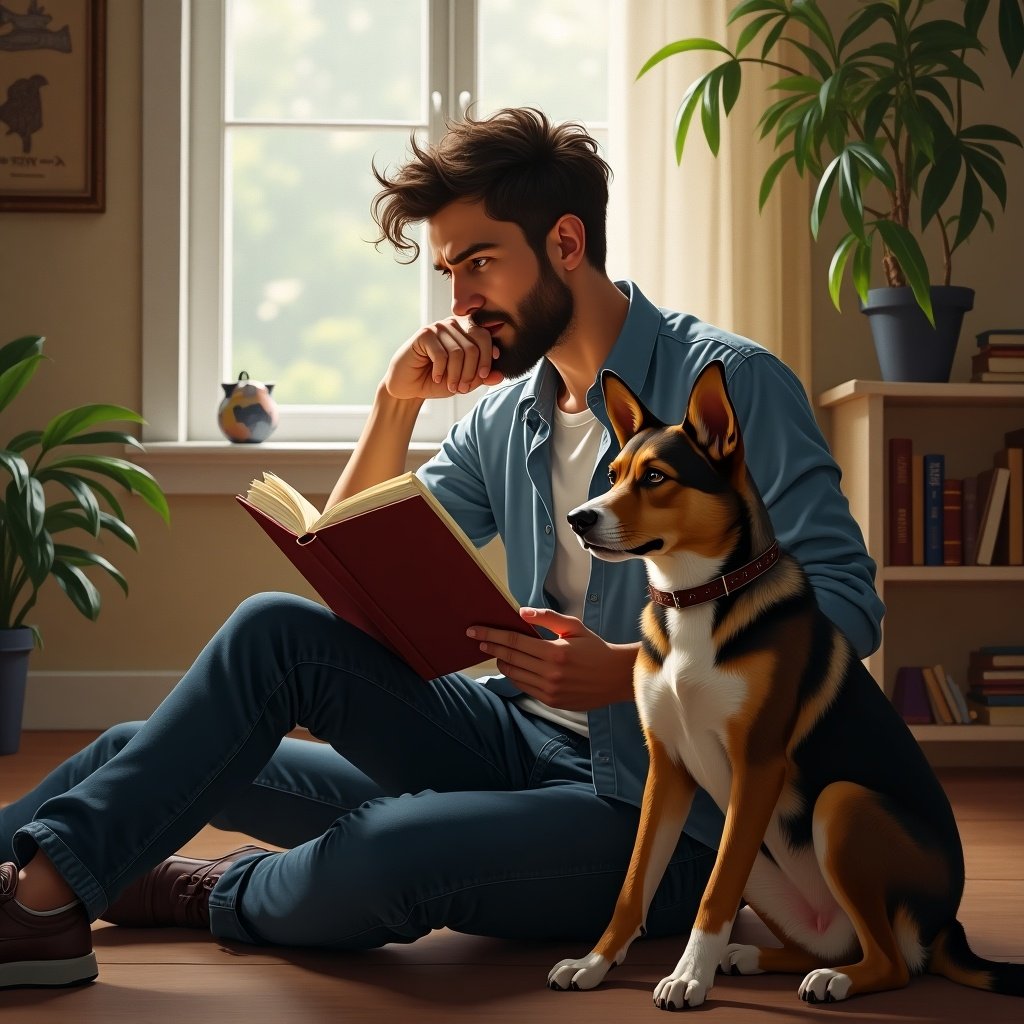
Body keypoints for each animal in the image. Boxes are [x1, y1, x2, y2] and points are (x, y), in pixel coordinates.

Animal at [548, 360, 1019, 1007]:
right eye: (614, 475)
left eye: (656, 478)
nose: (579, 518)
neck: (698, 598)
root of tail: (946, 927)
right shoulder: (667, 769)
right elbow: (633, 883)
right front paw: (594, 962)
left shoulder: (757, 764)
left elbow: (714, 892)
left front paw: (687, 977)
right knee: (837, 943)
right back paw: (751, 957)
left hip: (842, 805)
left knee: (891, 962)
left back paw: (832, 981)